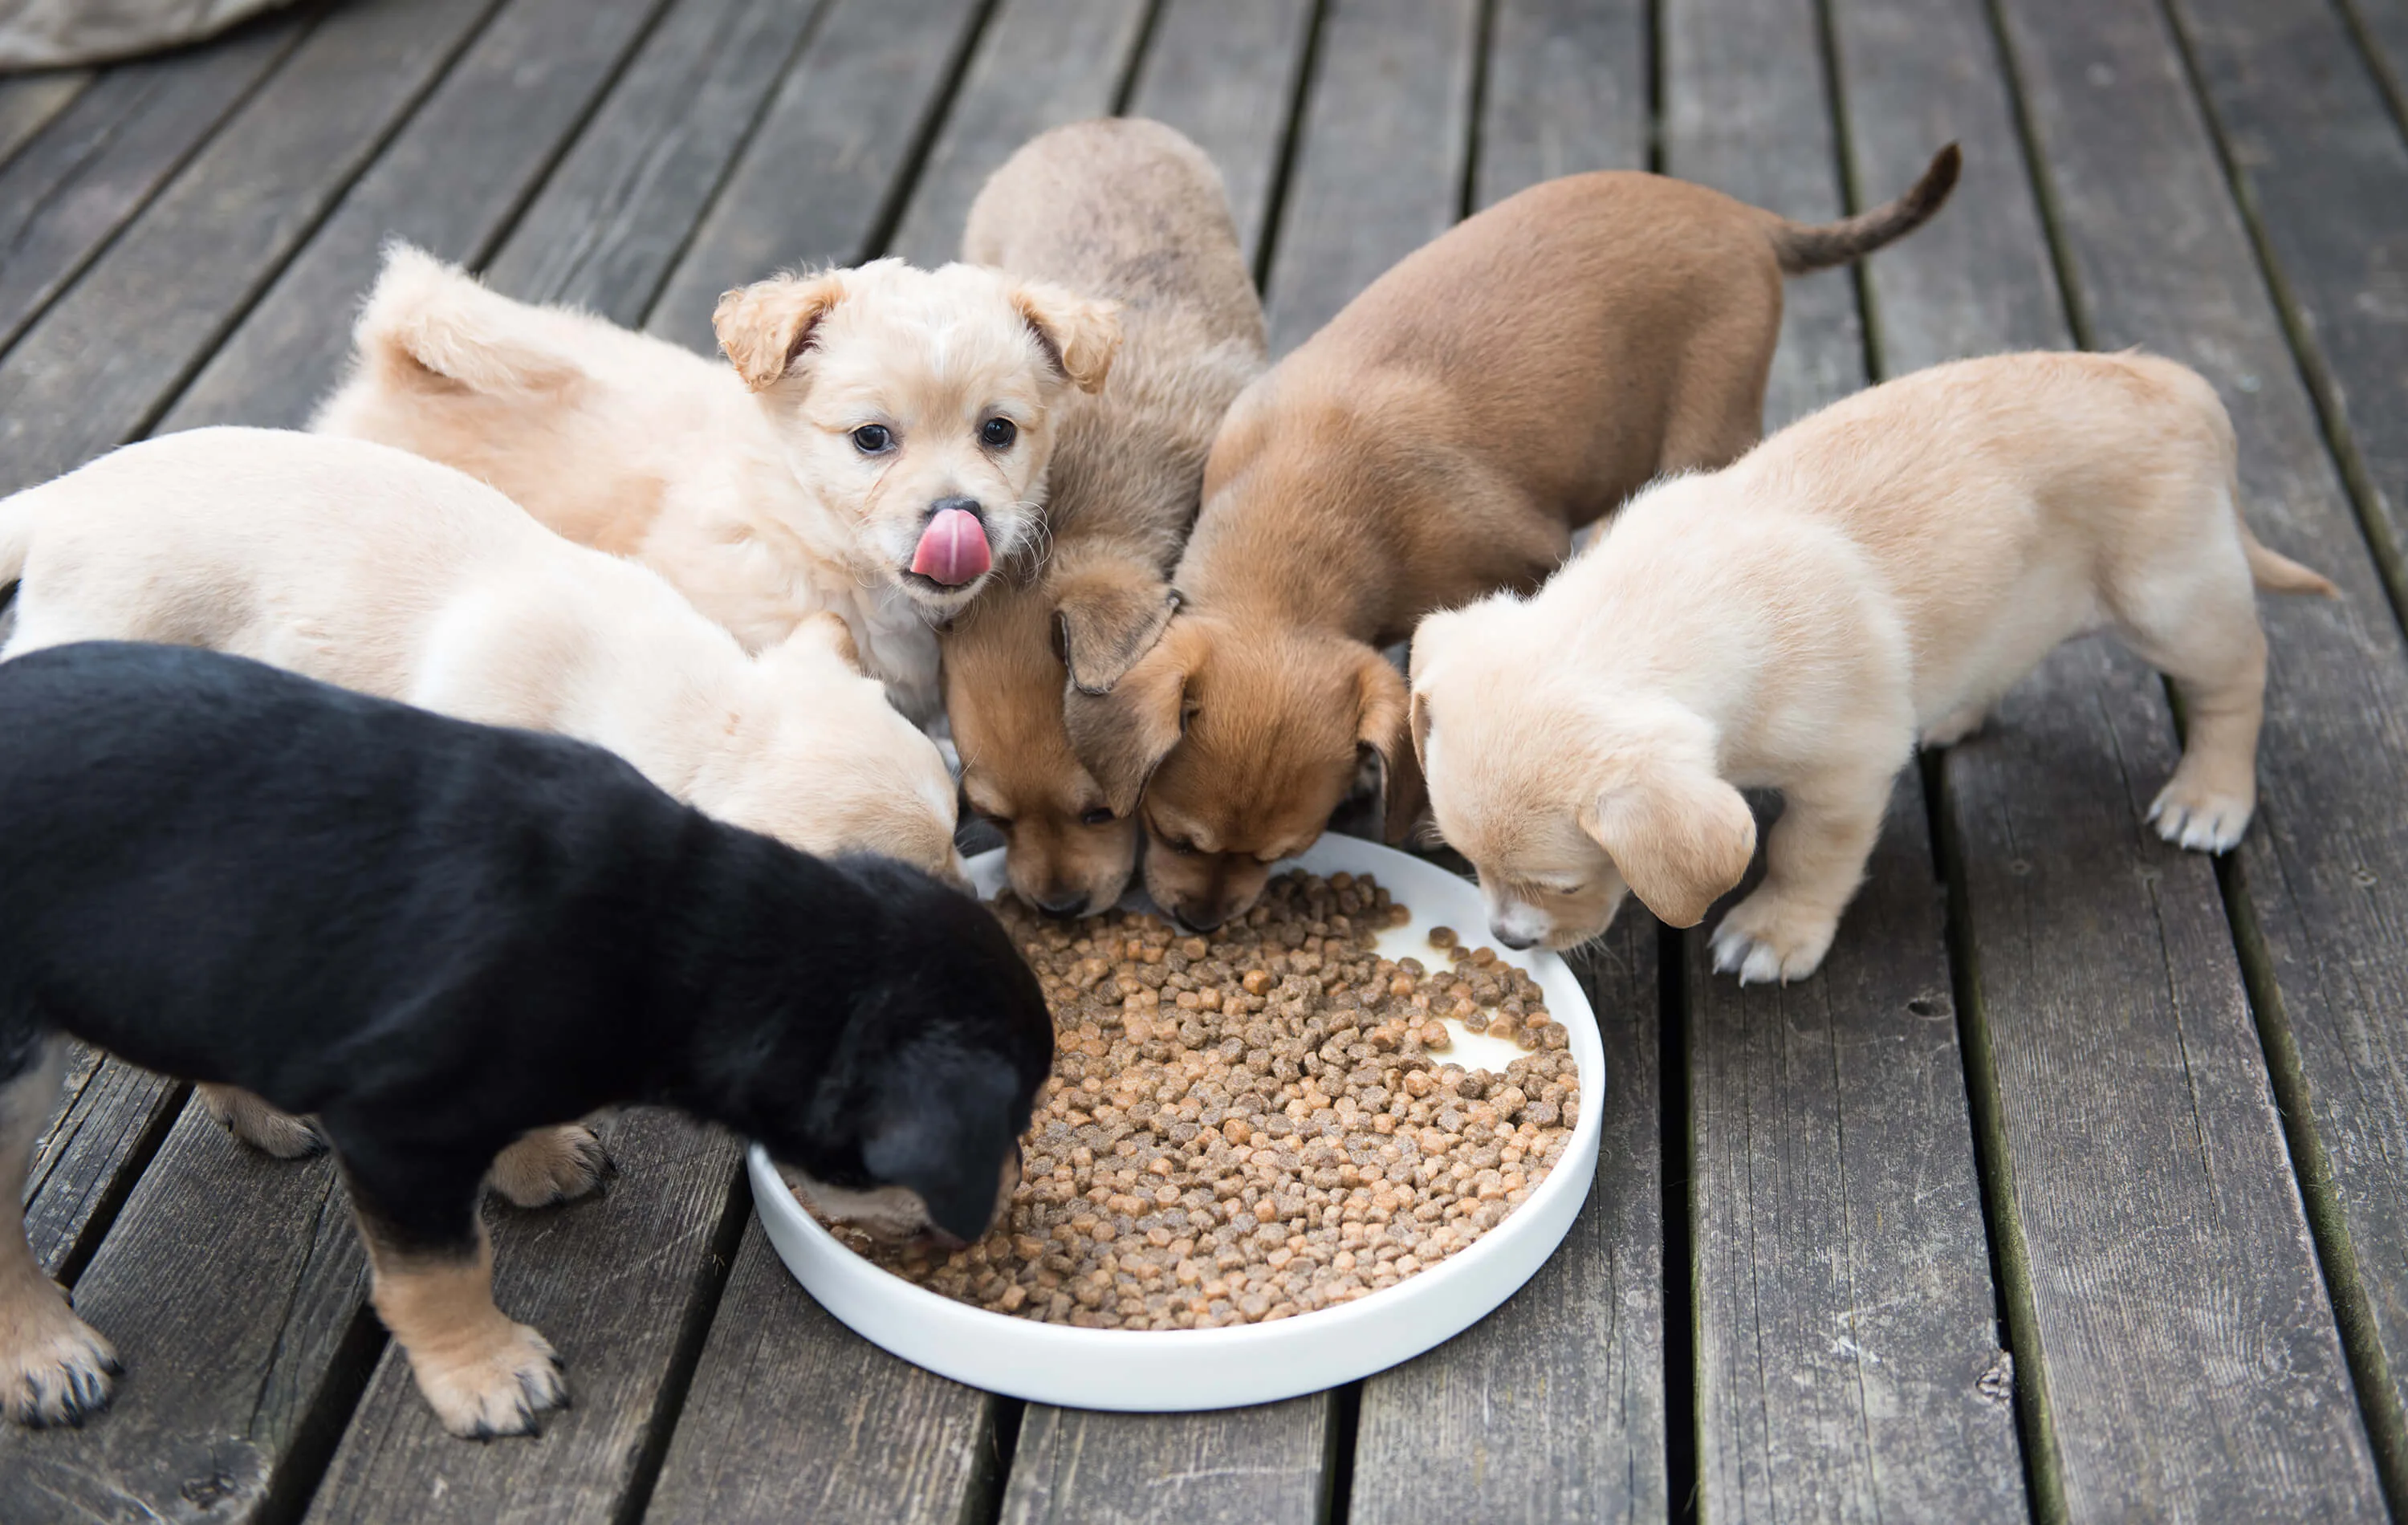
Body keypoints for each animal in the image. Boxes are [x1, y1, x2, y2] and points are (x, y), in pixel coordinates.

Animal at [2, 650, 1055, 1435]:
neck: (677, 934)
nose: (1005, 1199)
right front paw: (486, 1372)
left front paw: (534, 1158)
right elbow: (441, 1270)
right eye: (1001, 1127)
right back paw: (44, 1352)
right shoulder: (396, 1135)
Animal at [1069, 145, 1955, 929]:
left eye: (1284, 853)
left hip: (1709, 420)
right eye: (1173, 833)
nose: (1199, 927)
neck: (1309, 508)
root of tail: (1744, 217)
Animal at [1406, 352, 2331, 982]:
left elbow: (1804, 856)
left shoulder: (1843, 779)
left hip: (2172, 599)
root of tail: (2180, 383)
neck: (1655, 608)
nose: (1507, 939)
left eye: (1558, 885)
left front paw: (1775, 931)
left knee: (2239, 680)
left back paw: (2210, 798)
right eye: (1467, 861)